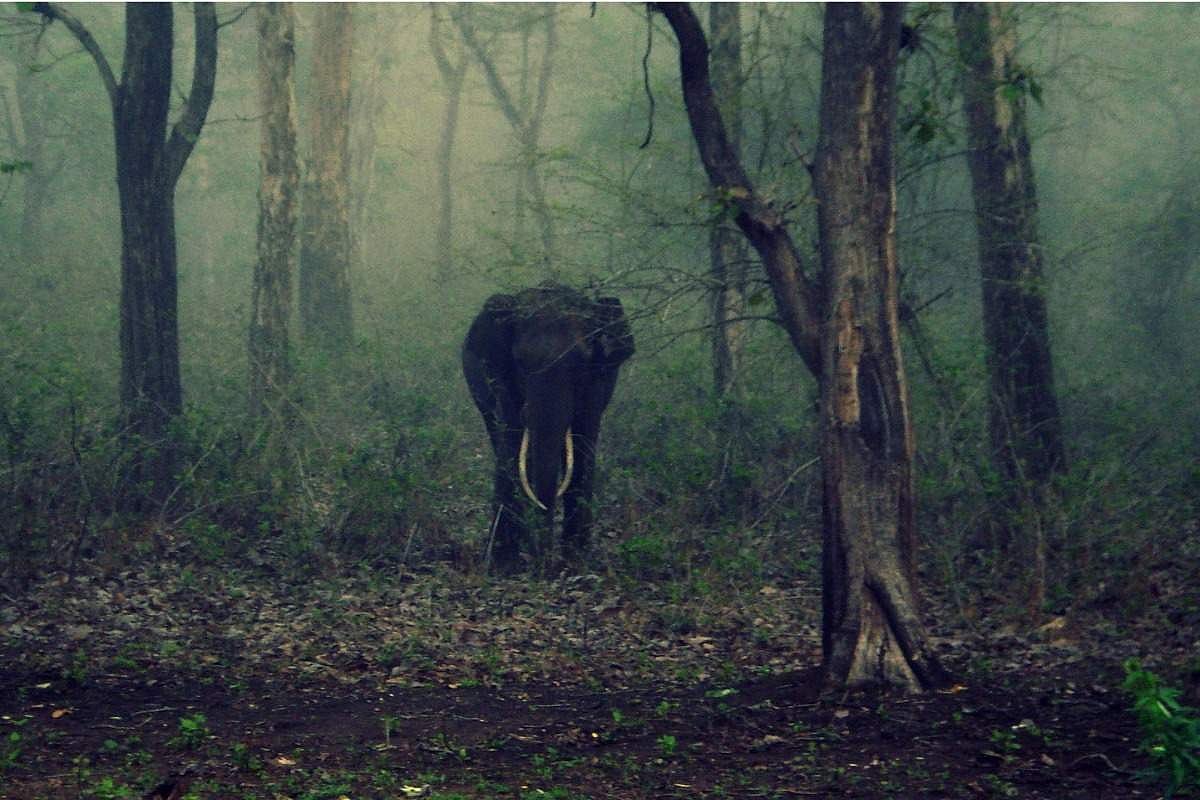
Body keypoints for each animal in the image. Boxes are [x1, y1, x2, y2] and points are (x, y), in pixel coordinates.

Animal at [462, 283, 634, 571]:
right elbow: (511, 443)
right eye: (520, 362)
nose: (544, 565)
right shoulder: (501, 378)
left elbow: (584, 445)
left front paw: (576, 559)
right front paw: (502, 563)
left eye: (581, 363)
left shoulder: (597, 380)